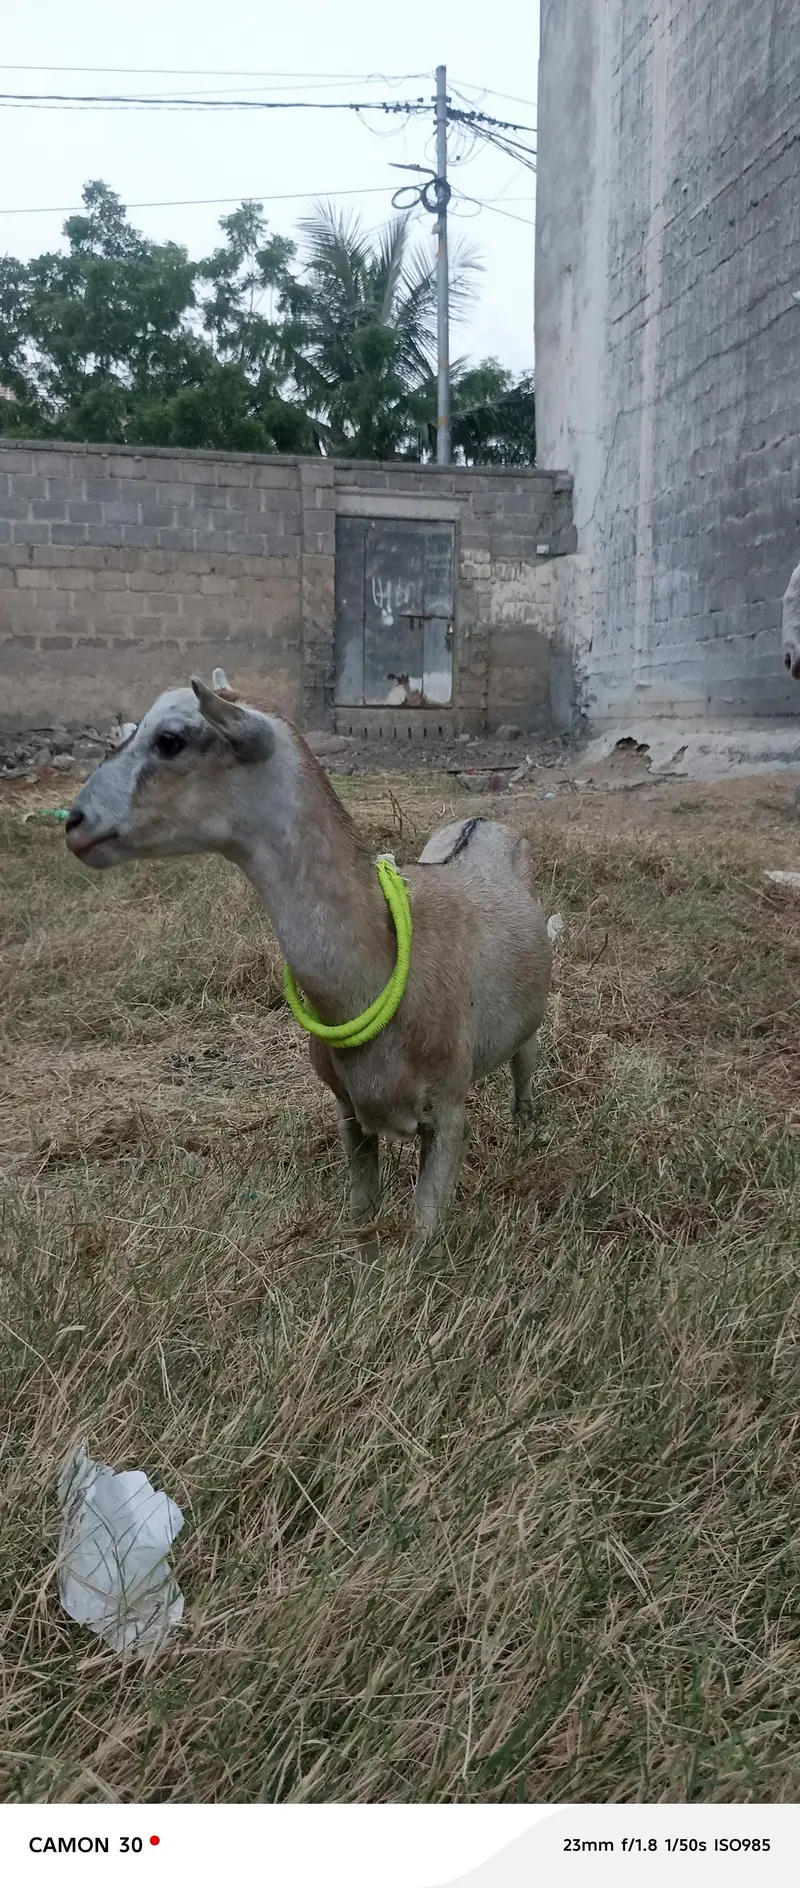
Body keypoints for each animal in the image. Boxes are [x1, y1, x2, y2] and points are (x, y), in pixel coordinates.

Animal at [65, 678, 554, 1239]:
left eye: (170, 740)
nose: (74, 823)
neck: (381, 966)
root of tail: (483, 820)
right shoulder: (348, 1111)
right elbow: (362, 1211)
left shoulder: (449, 1111)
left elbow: (424, 1235)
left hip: (529, 1026)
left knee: (524, 1072)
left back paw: (525, 1137)